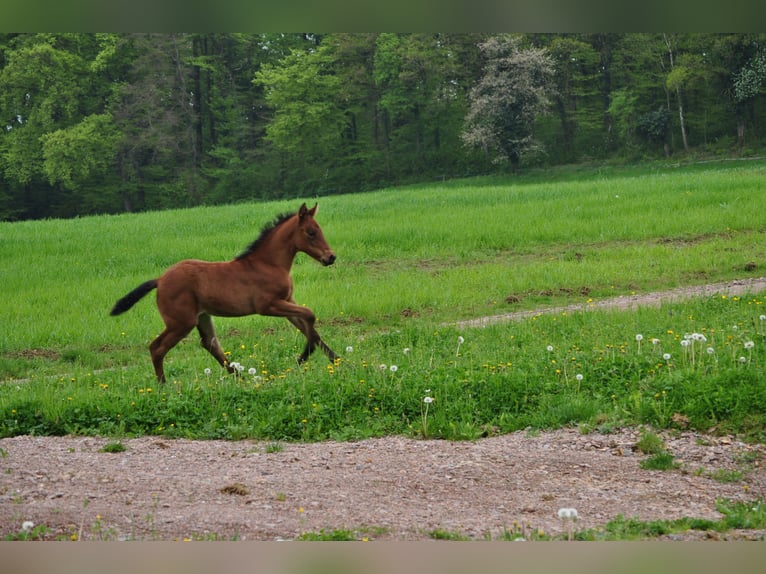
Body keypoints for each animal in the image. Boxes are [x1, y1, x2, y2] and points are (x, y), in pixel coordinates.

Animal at [110, 203, 338, 382]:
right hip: (181, 322)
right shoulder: (269, 305)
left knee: (210, 344)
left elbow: (309, 327)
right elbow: (310, 315)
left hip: (201, 316)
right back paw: (162, 386)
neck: (268, 264)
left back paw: (241, 377)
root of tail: (159, 280)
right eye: (311, 232)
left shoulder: (287, 300)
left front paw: (335, 359)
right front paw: (302, 358)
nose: (330, 257)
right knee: (156, 348)